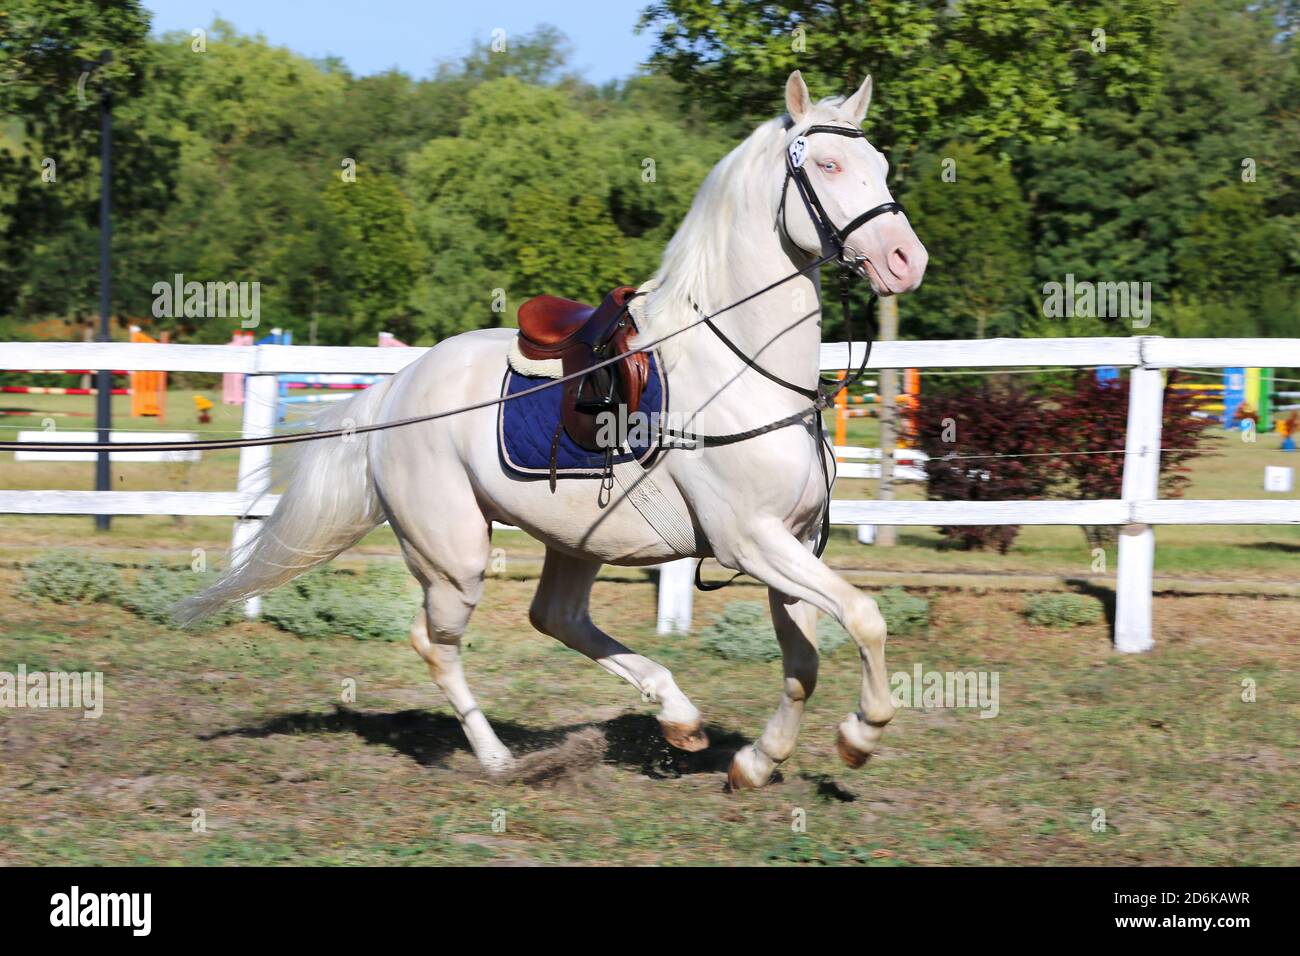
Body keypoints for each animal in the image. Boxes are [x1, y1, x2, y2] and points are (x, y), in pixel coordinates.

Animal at [185, 72, 935, 790]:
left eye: (880, 163)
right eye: (829, 164)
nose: (907, 260)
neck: (742, 368)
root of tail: (396, 389)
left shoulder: (796, 541)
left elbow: (803, 663)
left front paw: (756, 762)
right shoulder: (750, 541)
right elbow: (865, 617)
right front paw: (861, 733)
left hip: (575, 539)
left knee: (556, 616)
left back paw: (678, 716)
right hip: (455, 557)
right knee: (438, 644)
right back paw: (499, 760)